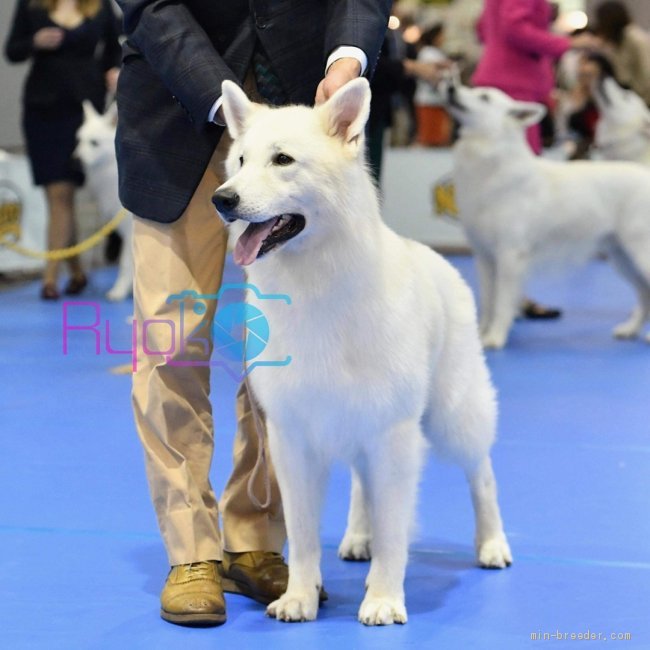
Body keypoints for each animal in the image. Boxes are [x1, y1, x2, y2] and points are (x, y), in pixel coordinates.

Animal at [215, 78, 508, 624]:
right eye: (240, 161)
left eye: (282, 160)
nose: (223, 199)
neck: (315, 285)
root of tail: (436, 258)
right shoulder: (295, 439)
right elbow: (303, 536)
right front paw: (300, 597)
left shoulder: (392, 435)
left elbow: (395, 531)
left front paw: (384, 599)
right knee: (360, 484)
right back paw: (357, 538)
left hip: (453, 417)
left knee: (482, 474)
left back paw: (493, 544)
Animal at [442, 83, 648, 352]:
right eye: (473, 89)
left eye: (484, 97)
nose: (450, 86)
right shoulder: (484, 257)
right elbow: (487, 302)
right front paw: (481, 336)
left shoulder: (509, 255)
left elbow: (501, 303)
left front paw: (495, 337)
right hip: (622, 258)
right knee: (645, 297)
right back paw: (630, 330)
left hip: (639, 254)